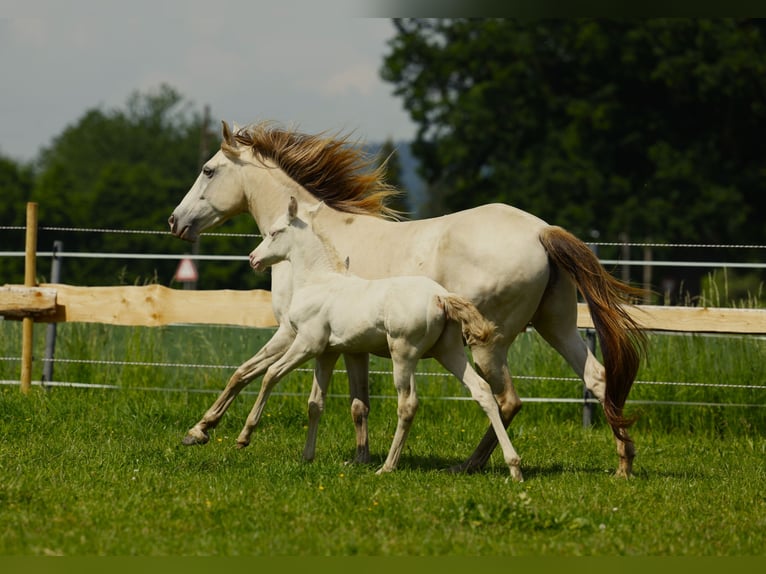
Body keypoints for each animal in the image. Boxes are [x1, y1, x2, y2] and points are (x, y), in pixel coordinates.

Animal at [246, 198, 528, 482]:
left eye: (274, 232)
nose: (253, 259)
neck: (318, 282)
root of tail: (440, 296)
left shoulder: (307, 344)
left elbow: (271, 374)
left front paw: (245, 436)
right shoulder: (326, 352)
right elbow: (315, 403)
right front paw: (307, 457)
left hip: (403, 353)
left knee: (408, 404)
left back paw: (388, 466)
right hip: (448, 351)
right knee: (482, 391)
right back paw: (513, 467)